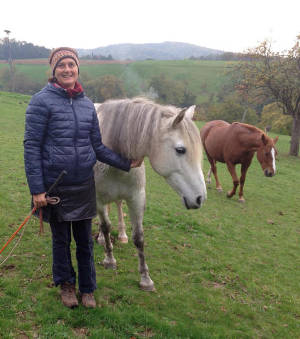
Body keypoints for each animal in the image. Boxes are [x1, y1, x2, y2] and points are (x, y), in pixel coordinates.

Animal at [94, 99, 206, 292]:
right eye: (180, 150)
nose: (200, 198)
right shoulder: (99, 200)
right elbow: (106, 226)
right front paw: (109, 260)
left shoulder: (137, 197)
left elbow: (139, 237)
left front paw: (145, 279)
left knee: (117, 205)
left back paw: (120, 235)